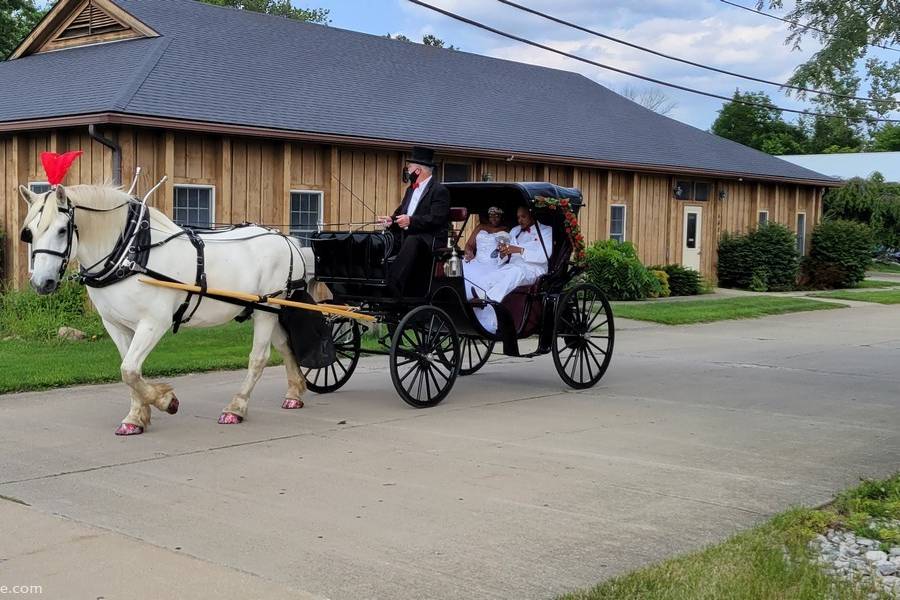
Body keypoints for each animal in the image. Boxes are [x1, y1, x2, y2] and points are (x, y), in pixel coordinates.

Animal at [19, 184, 318, 436]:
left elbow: (129, 369)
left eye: (61, 230)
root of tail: (286, 239)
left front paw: (166, 401)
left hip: (266, 309)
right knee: (284, 344)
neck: (131, 254)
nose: (41, 283)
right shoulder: (115, 325)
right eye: (30, 233)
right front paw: (136, 418)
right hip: (267, 309)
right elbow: (129, 369)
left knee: (259, 357)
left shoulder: (155, 321)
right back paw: (294, 393)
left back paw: (236, 407)